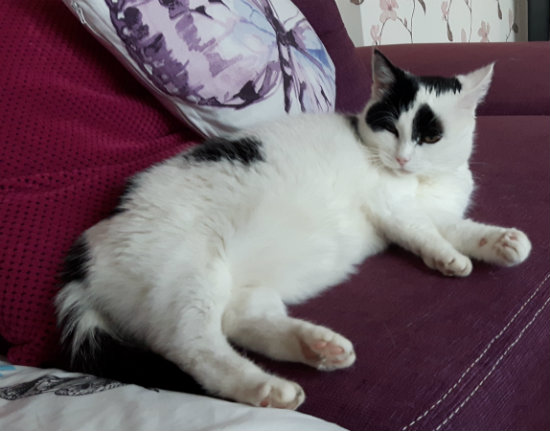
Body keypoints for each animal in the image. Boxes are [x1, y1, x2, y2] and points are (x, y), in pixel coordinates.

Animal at [55, 50, 531, 410]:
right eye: (390, 127)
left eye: (429, 137)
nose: (402, 159)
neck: (423, 182)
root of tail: (84, 253)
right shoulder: (393, 209)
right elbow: (424, 233)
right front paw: (450, 258)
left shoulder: (440, 212)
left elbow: (460, 227)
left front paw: (501, 241)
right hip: (186, 276)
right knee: (193, 346)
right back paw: (268, 388)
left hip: (243, 289)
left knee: (238, 322)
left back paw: (317, 347)